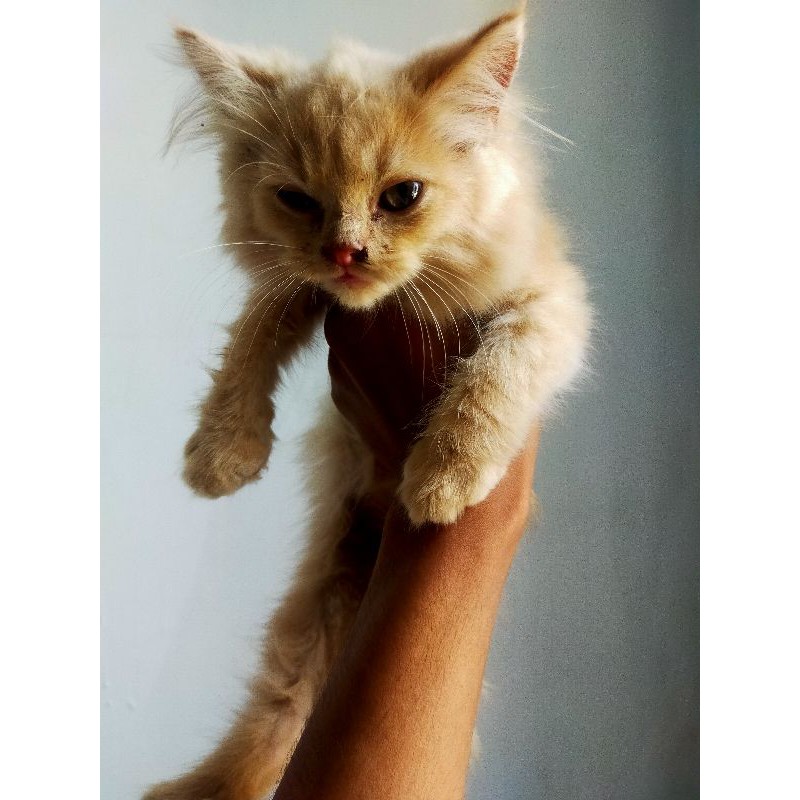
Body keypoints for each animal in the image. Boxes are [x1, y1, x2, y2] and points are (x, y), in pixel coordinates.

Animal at [145, 6, 591, 799]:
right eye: (298, 200)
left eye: (401, 197)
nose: (345, 253)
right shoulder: (301, 291)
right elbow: (255, 329)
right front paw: (222, 452)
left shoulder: (552, 301)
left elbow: (500, 368)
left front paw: (444, 478)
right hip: (311, 614)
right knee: (272, 723)